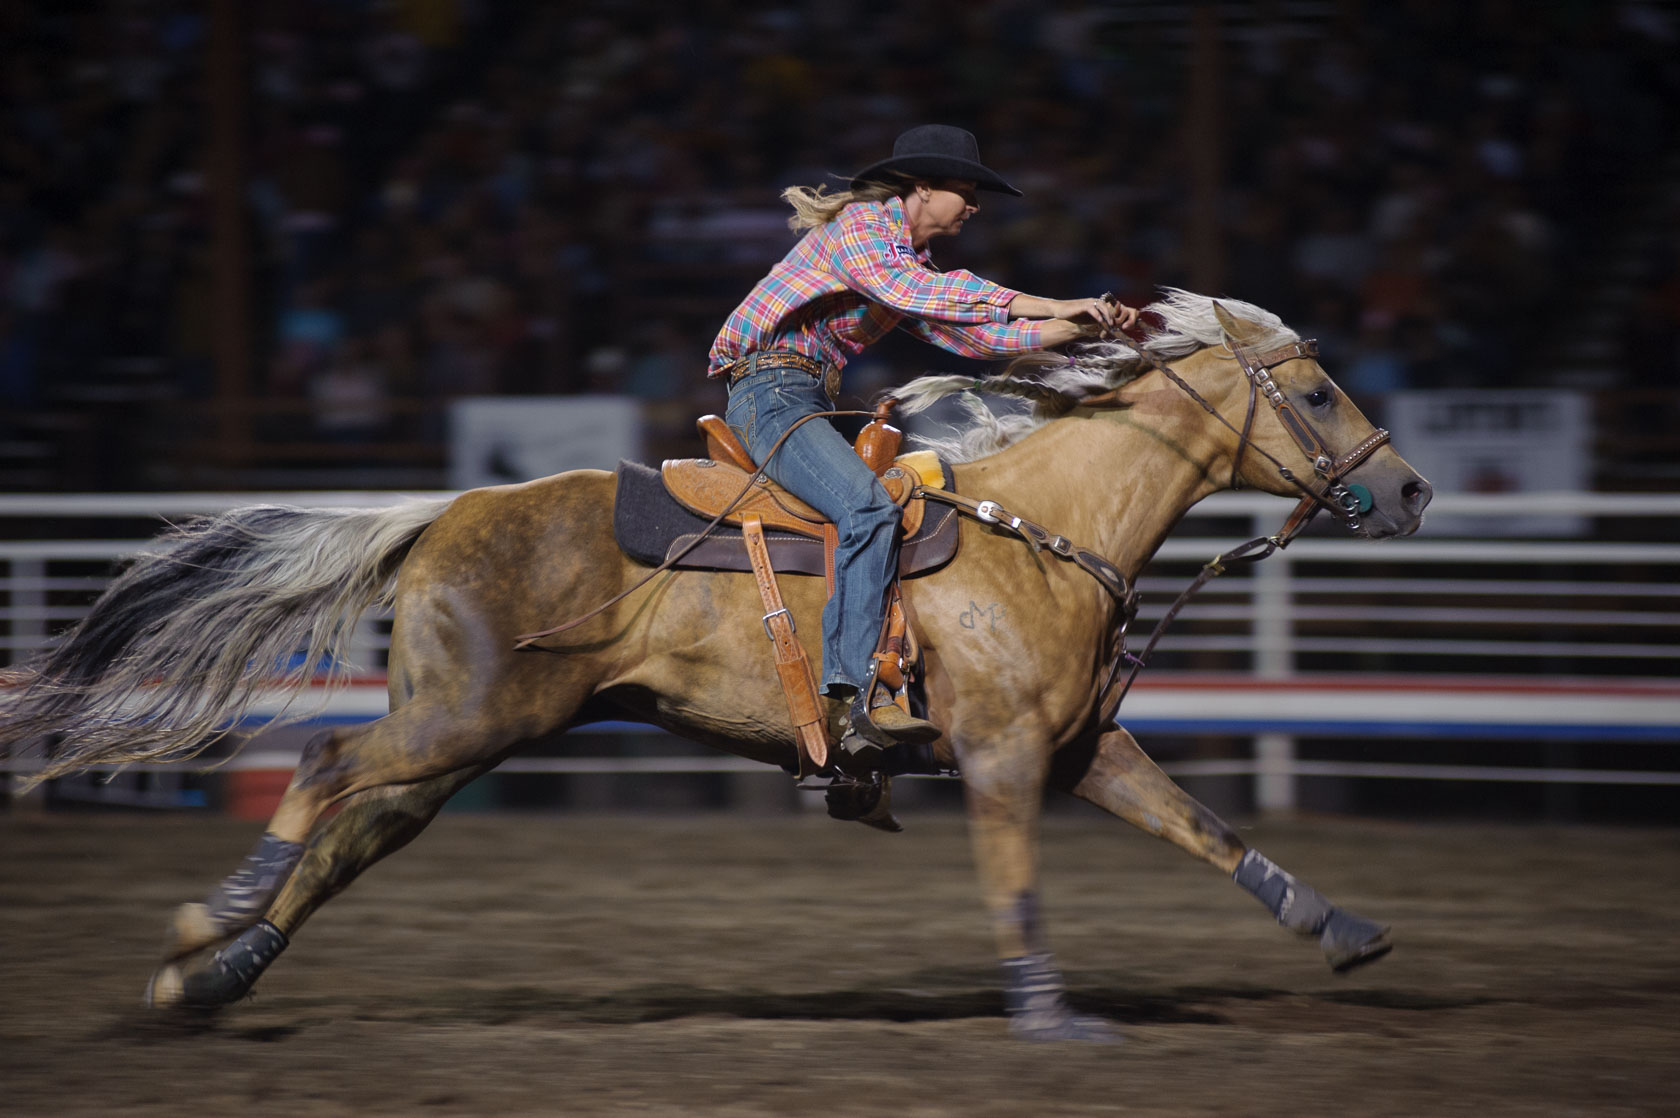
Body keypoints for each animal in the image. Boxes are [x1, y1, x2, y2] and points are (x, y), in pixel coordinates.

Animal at [3, 287, 1431, 1035]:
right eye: (1315, 391)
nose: (1412, 490)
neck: (1038, 527)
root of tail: (447, 510)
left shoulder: (1082, 743)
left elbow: (1205, 825)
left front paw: (1346, 928)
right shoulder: (1003, 754)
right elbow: (1016, 880)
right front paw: (1049, 1016)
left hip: (473, 732)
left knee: (358, 827)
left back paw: (211, 971)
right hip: (459, 718)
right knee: (323, 763)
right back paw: (211, 922)